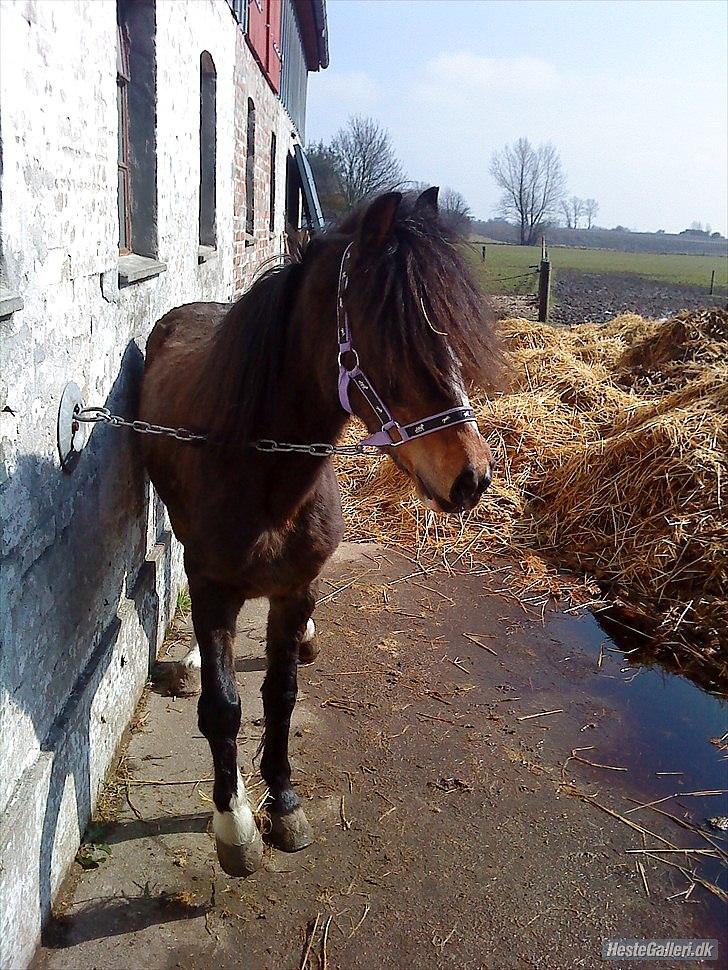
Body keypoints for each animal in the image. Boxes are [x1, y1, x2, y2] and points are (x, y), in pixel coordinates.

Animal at [138, 187, 500, 877]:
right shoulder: (214, 585)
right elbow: (223, 708)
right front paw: (234, 823)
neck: (262, 470)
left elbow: (279, 696)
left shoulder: (294, 587)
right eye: (394, 332)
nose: (471, 477)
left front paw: (283, 801)